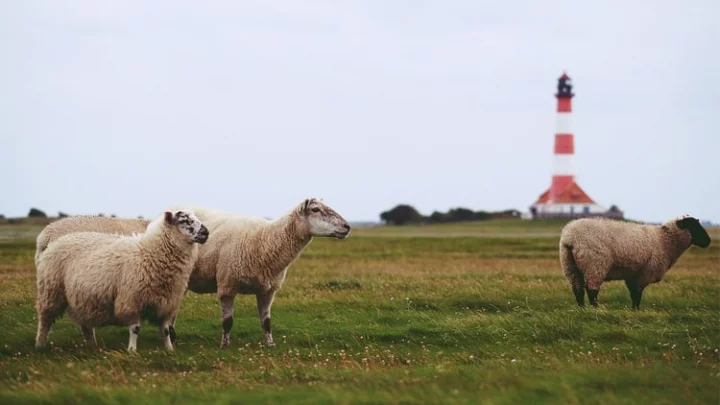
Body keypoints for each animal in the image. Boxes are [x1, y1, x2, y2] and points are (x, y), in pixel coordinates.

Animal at [34, 210, 208, 348]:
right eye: (184, 220)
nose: (206, 232)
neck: (149, 252)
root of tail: (51, 241)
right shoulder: (131, 300)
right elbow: (135, 328)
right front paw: (132, 350)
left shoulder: (168, 303)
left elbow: (165, 330)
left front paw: (169, 349)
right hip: (51, 291)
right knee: (45, 320)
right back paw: (40, 344)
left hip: (82, 296)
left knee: (86, 324)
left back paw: (92, 345)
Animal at [172, 196, 352, 348]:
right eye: (315, 209)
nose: (347, 227)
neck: (264, 239)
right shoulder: (227, 285)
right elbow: (227, 321)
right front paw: (224, 345)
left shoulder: (268, 291)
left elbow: (266, 322)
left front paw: (270, 344)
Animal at [560, 216, 712, 308]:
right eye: (693, 226)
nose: (708, 241)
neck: (665, 240)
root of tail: (570, 238)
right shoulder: (646, 271)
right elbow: (637, 294)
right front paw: (637, 310)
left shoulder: (633, 273)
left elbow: (633, 293)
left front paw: (634, 310)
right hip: (595, 264)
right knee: (592, 290)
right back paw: (595, 309)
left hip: (570, 266)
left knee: (578, 290)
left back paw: (582, 309)